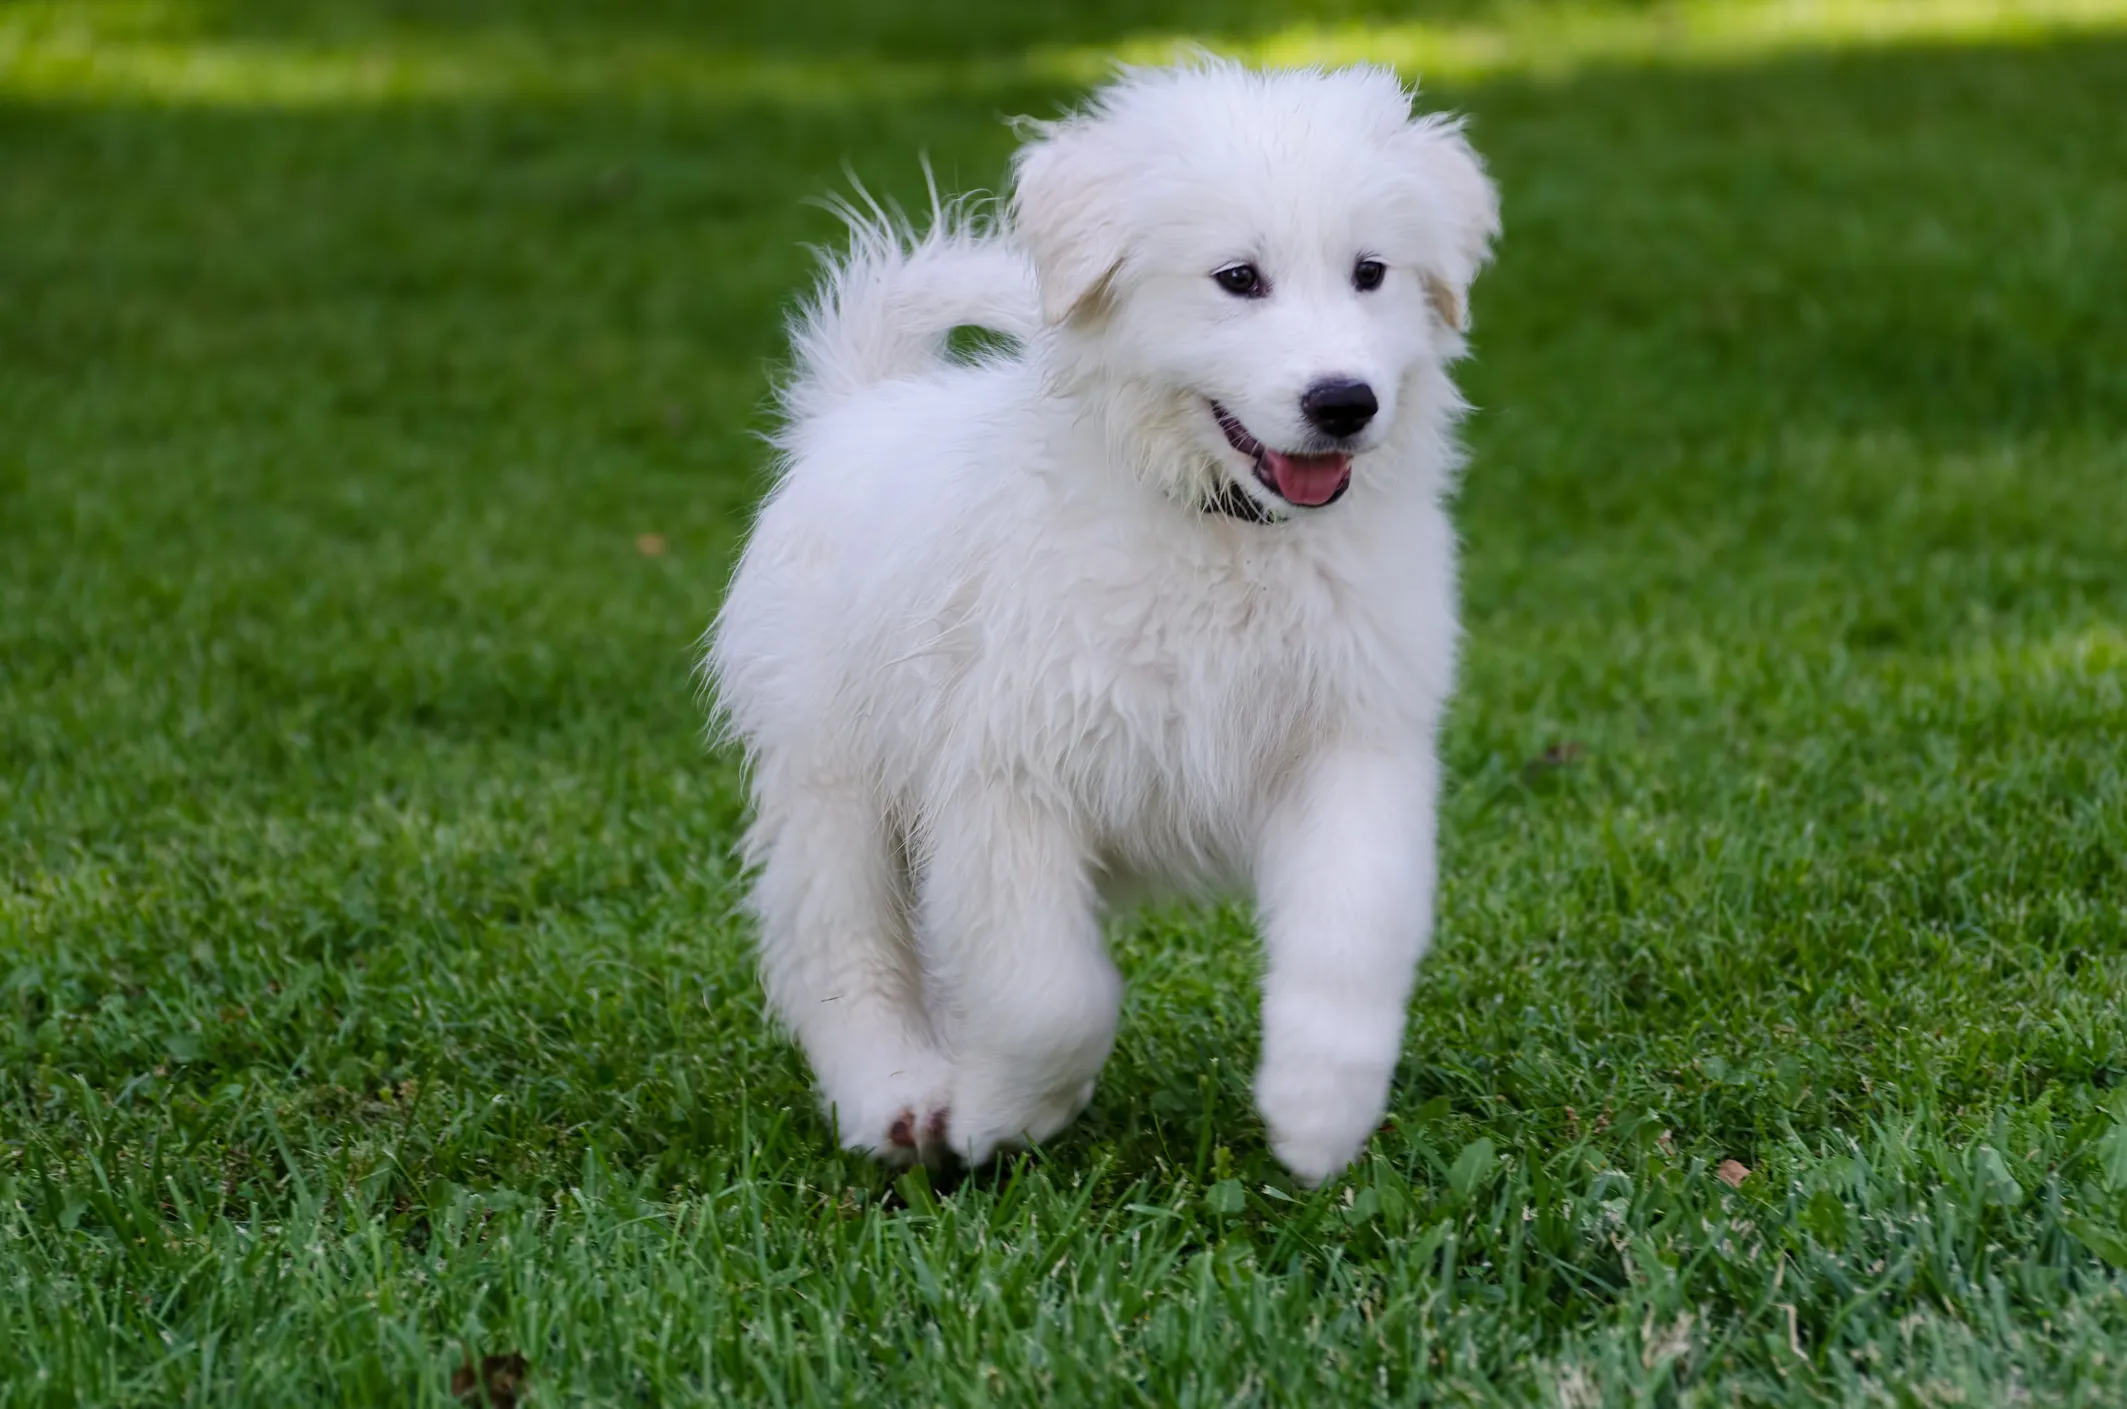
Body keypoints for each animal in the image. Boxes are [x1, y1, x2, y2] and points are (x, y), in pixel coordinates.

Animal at [710, 60, 1497, 1183]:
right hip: (832, 771)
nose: (1343, 401)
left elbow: (1352, 925)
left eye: (1370, 272)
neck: (1219, 530)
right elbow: (1049, 994)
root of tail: (857, 407)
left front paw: (1318, 1108)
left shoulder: (1353, 740)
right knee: (842, 942)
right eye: (1238, 278)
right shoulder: (1006, 775)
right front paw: (998, 1113)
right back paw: (898, 1094)